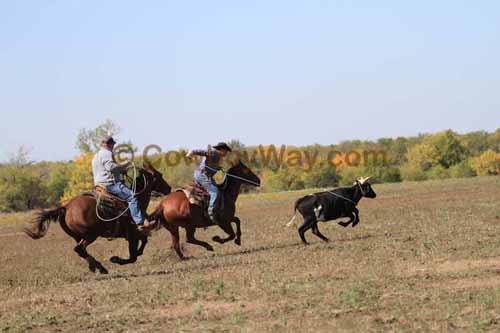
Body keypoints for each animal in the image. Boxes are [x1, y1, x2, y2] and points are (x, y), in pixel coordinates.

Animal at [23, 162, 172, 274]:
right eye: (159, 175)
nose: (169, 188)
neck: (138, 200)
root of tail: (66, 207)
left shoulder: (136, 234)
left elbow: (143, 244)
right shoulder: (132, 235)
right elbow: (133, 256)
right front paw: (115, 259)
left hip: (78, 236)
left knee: (81, 250)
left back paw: (96, 267)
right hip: (91, 235)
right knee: (79, 249)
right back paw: (101, 267)